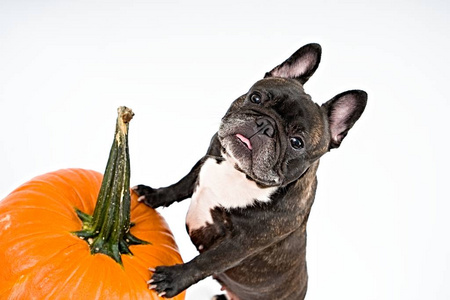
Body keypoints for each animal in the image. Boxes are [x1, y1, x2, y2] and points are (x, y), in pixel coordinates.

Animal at [134, 43, 366, 298]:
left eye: (297, 142)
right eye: (256, 97)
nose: (266, 125)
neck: (240, 174)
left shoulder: (240, 245)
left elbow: (206, 262)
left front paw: (172, 278)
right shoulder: (205, 162)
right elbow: (179, 186)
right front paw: (153, 195)